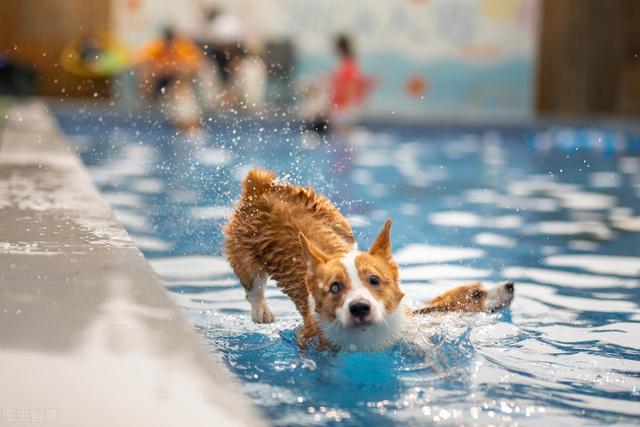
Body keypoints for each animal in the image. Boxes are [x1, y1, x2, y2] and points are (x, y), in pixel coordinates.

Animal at [225, 169, 516, 352]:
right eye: (477, 294)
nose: (511, 285)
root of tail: (259, 189)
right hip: (244, 256)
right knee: (254, 287)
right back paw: (261, 311)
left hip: (335, 218)